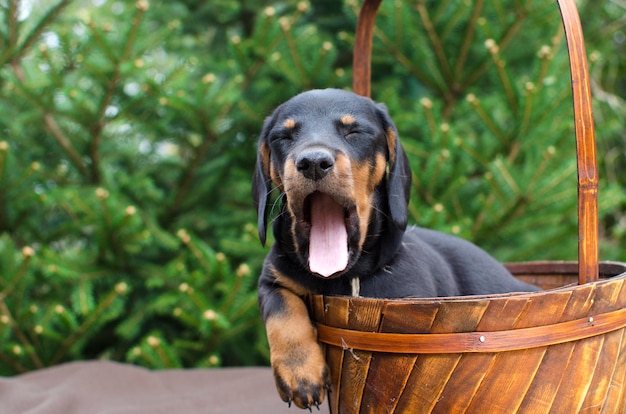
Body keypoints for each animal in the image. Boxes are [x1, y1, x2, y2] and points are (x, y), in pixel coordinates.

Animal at [250, 89, 536, 410]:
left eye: (355, 131)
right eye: (283, 136)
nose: (312, 162)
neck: (341, 278)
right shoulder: (272, 279)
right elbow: (283, 312)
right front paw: (300, 374)